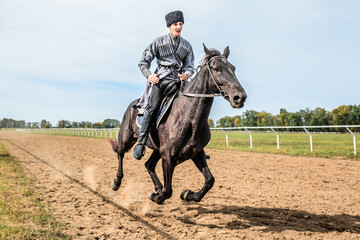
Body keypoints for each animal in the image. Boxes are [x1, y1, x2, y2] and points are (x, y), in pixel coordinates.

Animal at [108, 44, 246, 203]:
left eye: (233, 68)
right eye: (217, 68)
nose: (240, 97)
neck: (189, 119)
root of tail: (134, 104)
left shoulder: (196, 152)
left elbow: (210, 180)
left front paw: (187, 194)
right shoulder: (168, 156)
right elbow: (168, 191)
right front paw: (156, 196)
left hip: (156, 150)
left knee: (148, 165)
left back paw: (157, 187)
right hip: (127, 138)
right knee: (120, 153)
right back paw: (117, 181)